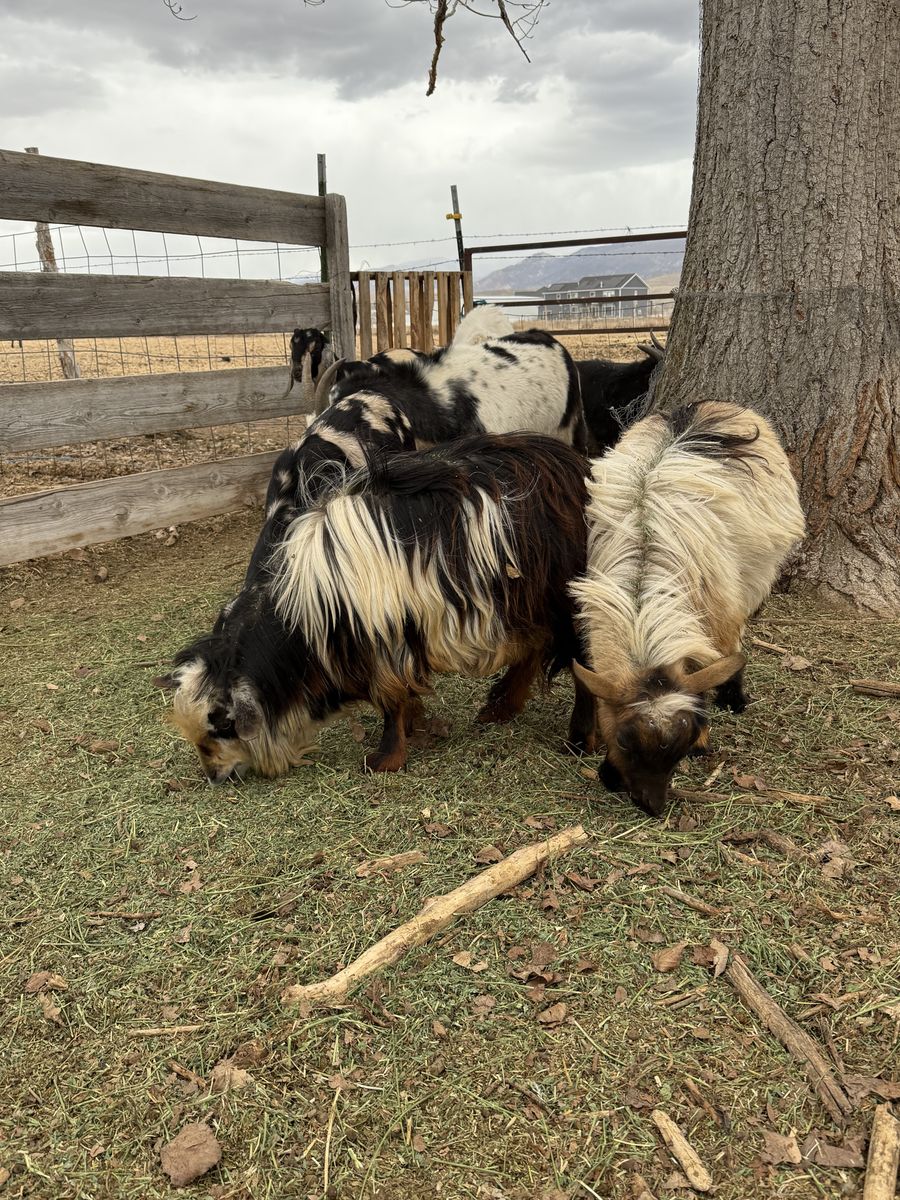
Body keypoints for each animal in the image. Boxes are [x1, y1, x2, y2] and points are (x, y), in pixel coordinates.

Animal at [157, 433, 595, 781]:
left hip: (567, 597)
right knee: (534, 646)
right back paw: (499, 708)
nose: (214, 776)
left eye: (222, 725)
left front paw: (385, 759)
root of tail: (582, 469)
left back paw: (578, 741)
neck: (303, 611)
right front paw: (417, 724)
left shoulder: (383, 642)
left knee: (579, 662)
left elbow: (390, 700)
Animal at [569, 400, 805, 818]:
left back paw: (734, 697)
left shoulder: (716, 617)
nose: (652, 805)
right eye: (625, 741)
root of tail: (713, 404)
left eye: (680, 749)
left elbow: (716, 663)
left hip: (755, 576)